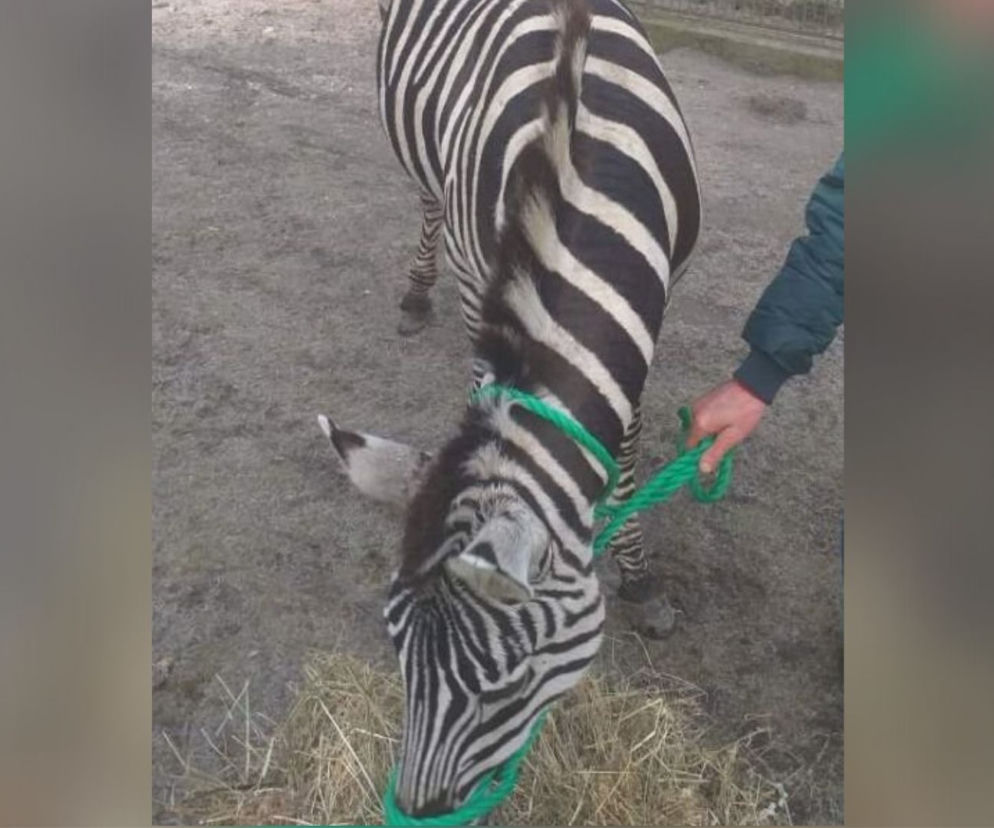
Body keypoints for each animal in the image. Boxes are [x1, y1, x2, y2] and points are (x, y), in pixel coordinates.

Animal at [318, 0, 701, 816]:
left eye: (510, 683)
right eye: (394, 650)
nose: (417, 810)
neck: (577, 159)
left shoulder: (654, 300)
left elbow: (622, 445)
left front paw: (639, 574)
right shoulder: (482, 283)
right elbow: (486, 392)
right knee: (427, 200)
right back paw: (414, 294)